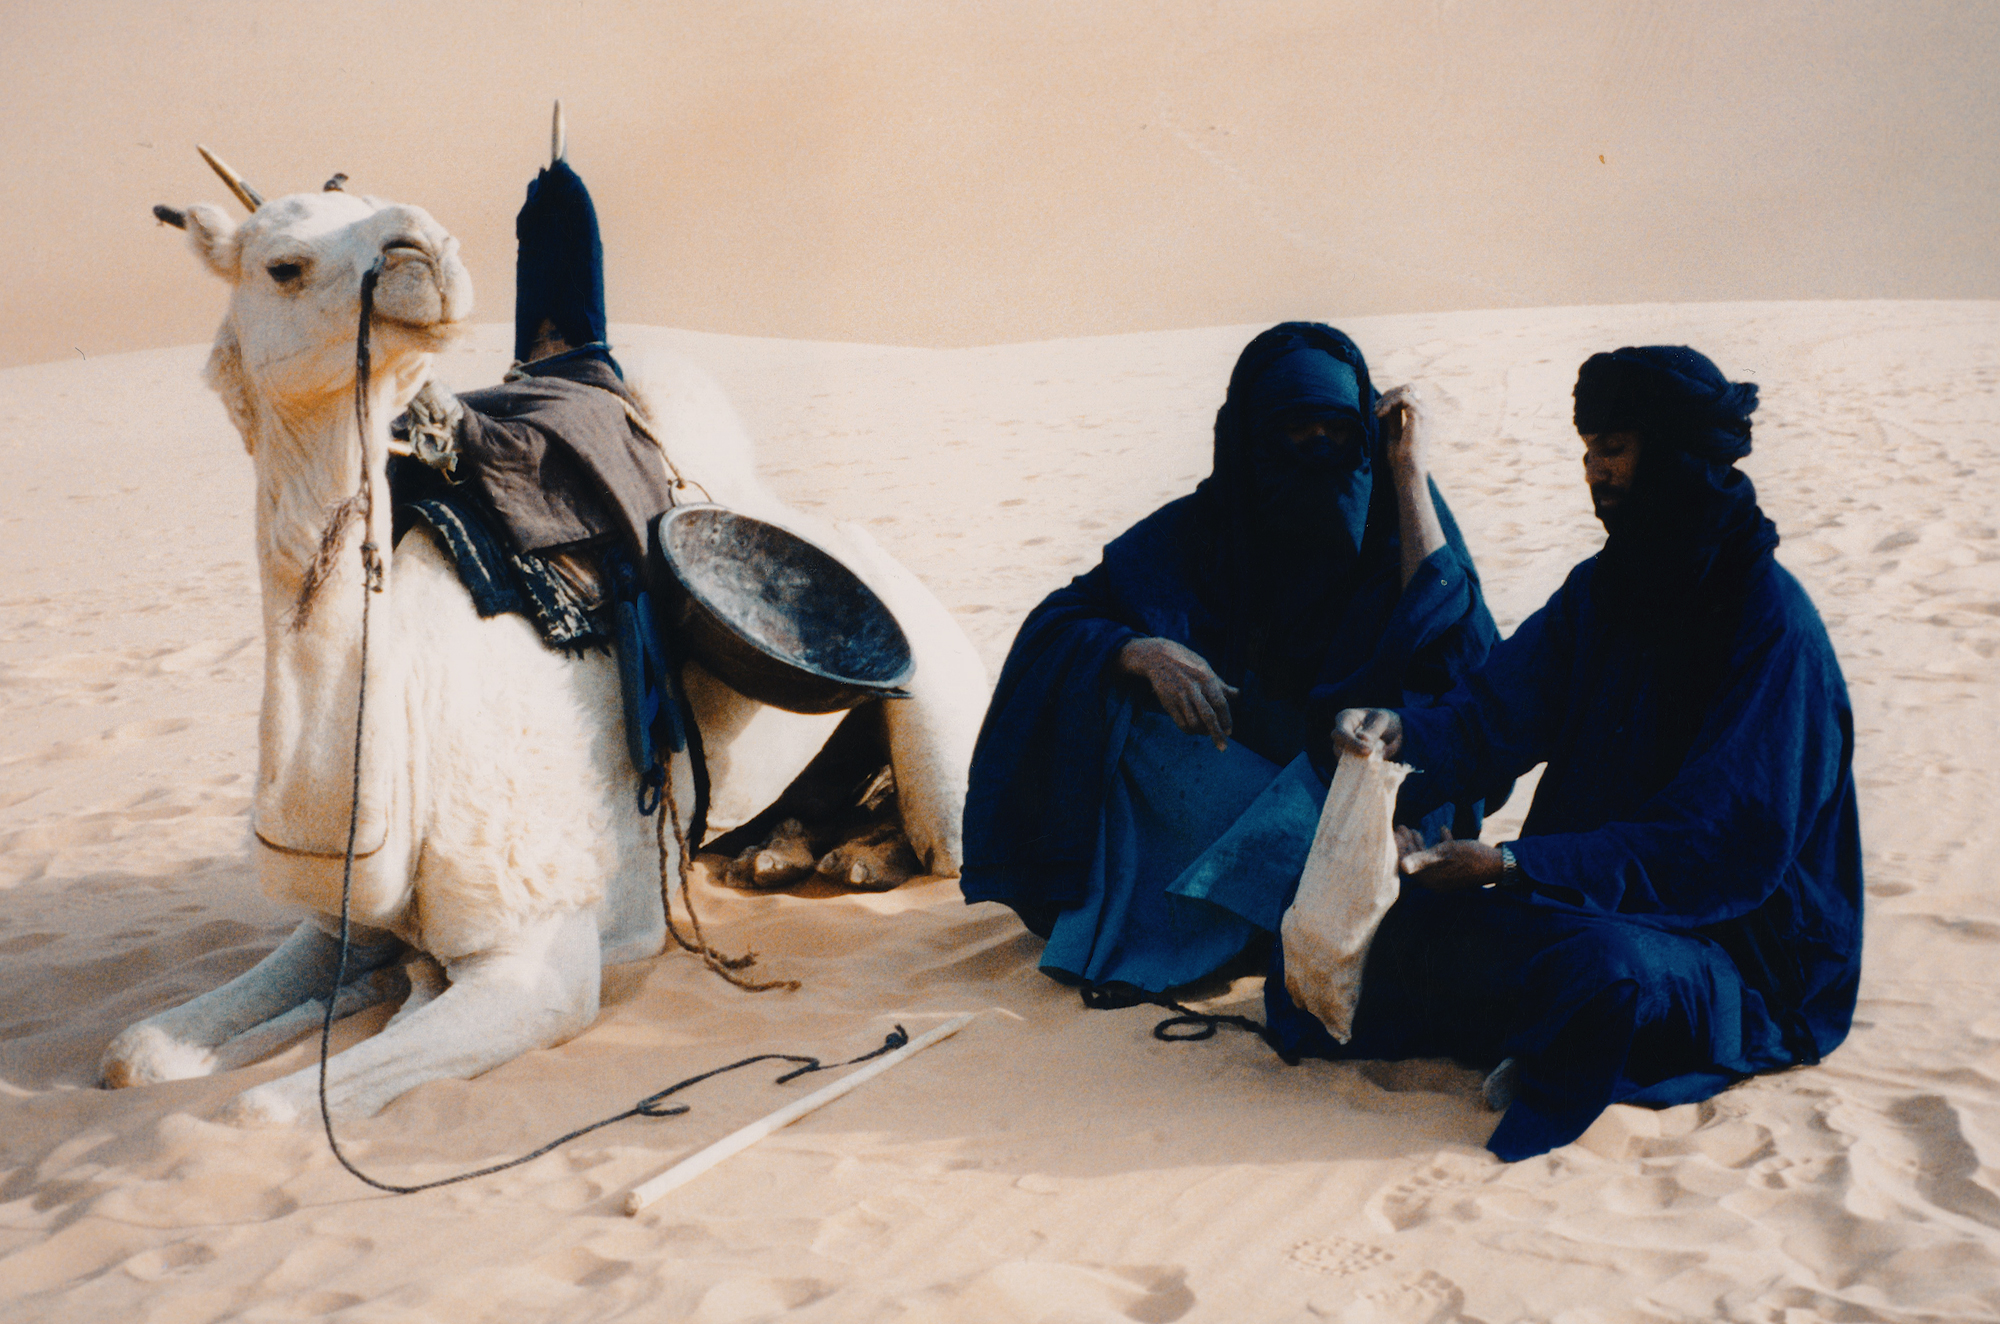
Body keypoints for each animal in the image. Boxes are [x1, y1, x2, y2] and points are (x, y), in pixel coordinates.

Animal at [101, 161, 992, 1128]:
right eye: (285, 265)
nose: (426, 251)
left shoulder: (538, 964)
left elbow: (260, 1109)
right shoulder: (343, 921)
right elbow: (135, 1052)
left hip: (935, 683)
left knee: (947, 839)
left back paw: (855, 859)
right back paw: (786, 853)